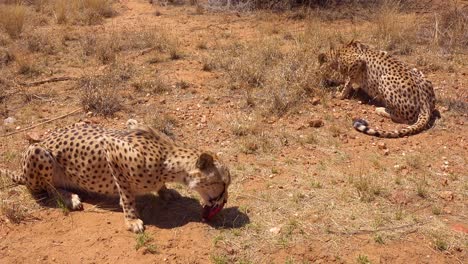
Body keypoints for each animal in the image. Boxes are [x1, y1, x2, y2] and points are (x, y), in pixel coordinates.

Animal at [0, 120, 231, 233]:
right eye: (223, 184)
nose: (225, 200)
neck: (168, 157)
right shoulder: (113, 152)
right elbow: (127, 195)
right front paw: (131, 219)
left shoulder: (132, 124)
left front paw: (165, 192)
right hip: (38, 152)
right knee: (48, 187)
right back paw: (69, 198)